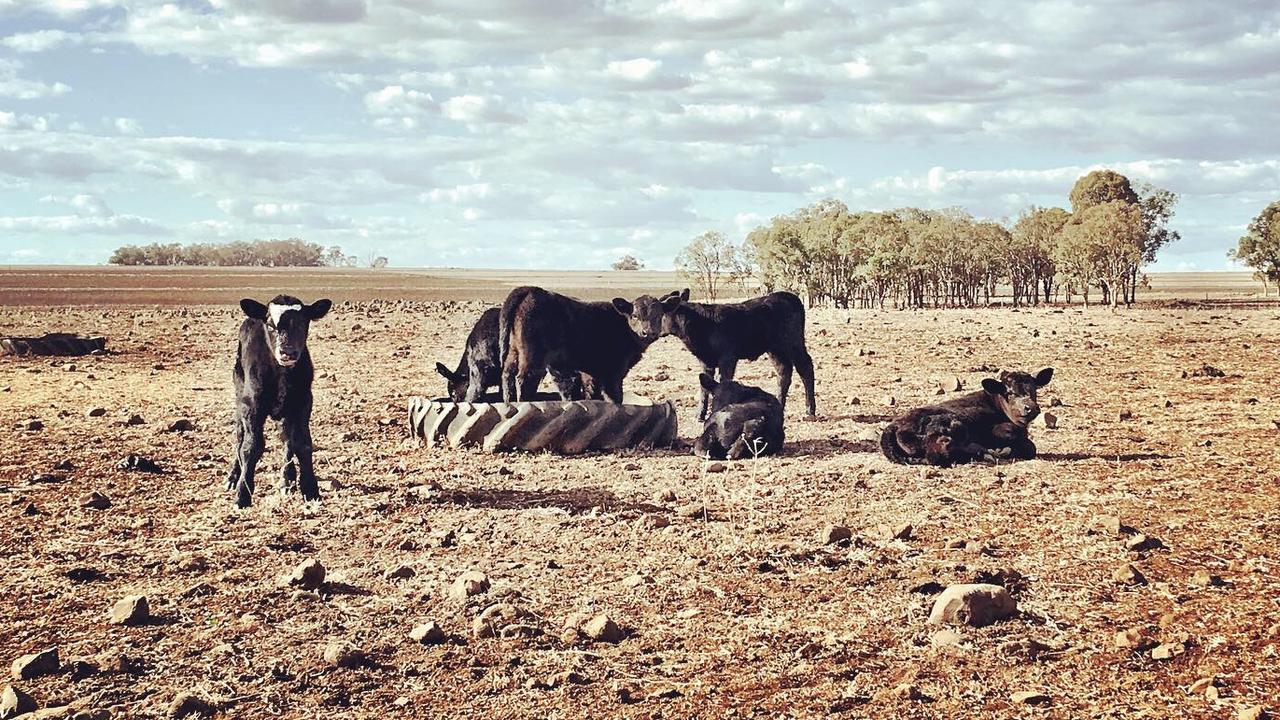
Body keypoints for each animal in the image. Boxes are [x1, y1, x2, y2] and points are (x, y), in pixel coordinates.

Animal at [227, 294, 332, 507]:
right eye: (270, 324)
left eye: (303, 322)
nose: (288, 352)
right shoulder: (251, 406)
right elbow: (251, 446)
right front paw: (242, 494)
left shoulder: (303, 403)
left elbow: (301, 443)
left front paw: (310, 489)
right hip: (239, 396)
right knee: (240, 436)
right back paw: (234, 476)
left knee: (286, 439)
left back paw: (287, 479)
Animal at [494, 283, 670, 399]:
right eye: (634, 316)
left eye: (659, 315)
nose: (648, 332)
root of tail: (530, 289)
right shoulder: (613, 370)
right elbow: (614, 395)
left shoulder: (592, 371)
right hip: (532, 355)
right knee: (524, 378)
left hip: (514, 350)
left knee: (507, 375)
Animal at [622, 286, 819, 420]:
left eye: (659, 313)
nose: (648, 333)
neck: (702, 323)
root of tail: (788, 296)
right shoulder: (705, 361)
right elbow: (704, 386)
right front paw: (700, 414)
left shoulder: (728, 358)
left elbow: (723, 381)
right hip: (775, 349)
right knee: (784, 373)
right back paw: (780, 404)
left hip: (793, 343)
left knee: (805, 368)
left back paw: (810, 410)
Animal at [880, 363, 1049, 466]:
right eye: (1010, 393)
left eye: (1034, 389)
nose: (1030, 407)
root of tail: (892, 426)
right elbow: (1029, 446)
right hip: (952, 428)